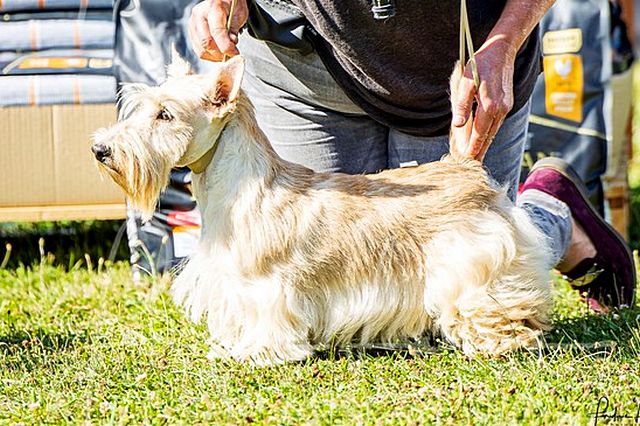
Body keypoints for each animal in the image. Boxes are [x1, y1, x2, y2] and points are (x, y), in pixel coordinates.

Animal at [92, 54, 552, 366]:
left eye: (165, 114)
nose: (101, 150)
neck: (237, 188)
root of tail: (465, 165)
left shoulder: (265, 288)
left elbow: (267, 323)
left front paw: (257, 351)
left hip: (475, 267)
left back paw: (500, 342)